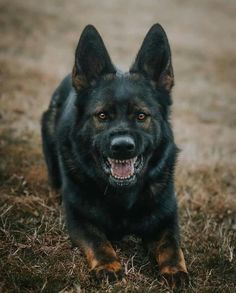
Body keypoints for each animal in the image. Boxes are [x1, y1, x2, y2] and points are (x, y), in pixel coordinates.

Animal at [41, 24, 188, 286]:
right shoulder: (79, 219)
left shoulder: (167, 218)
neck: (123, 195)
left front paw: (174, 270)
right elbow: (98, 240)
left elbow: (171, 245)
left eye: (141, 115)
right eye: (102, 115)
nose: (122, 146)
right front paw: (108, 265)